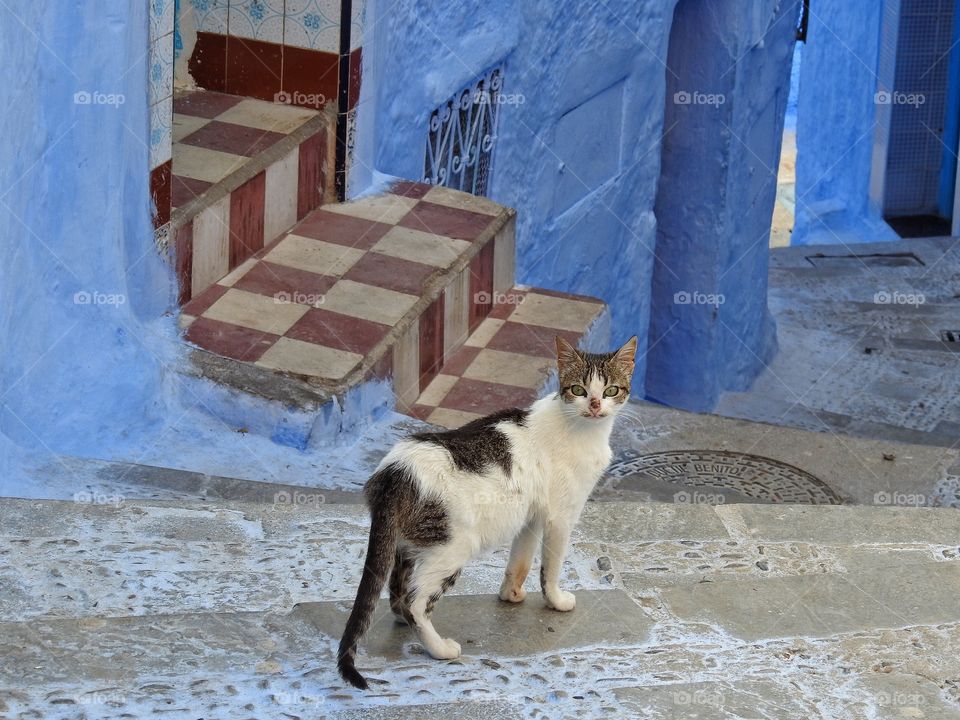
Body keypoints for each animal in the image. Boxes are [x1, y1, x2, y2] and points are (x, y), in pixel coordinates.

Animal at [338, 334, 636, 688]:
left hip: (409, 545)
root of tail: (393, 472)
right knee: (414, 602)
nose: (594, 405)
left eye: (611, 390)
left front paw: (511, 594)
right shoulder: (561, 516)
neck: (582, 430)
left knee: (397, 590)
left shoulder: (531, 517)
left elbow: (520, 561)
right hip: (452, 548)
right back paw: (439, 648)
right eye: (578, 389)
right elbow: (551, 568)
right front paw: (556, 600)